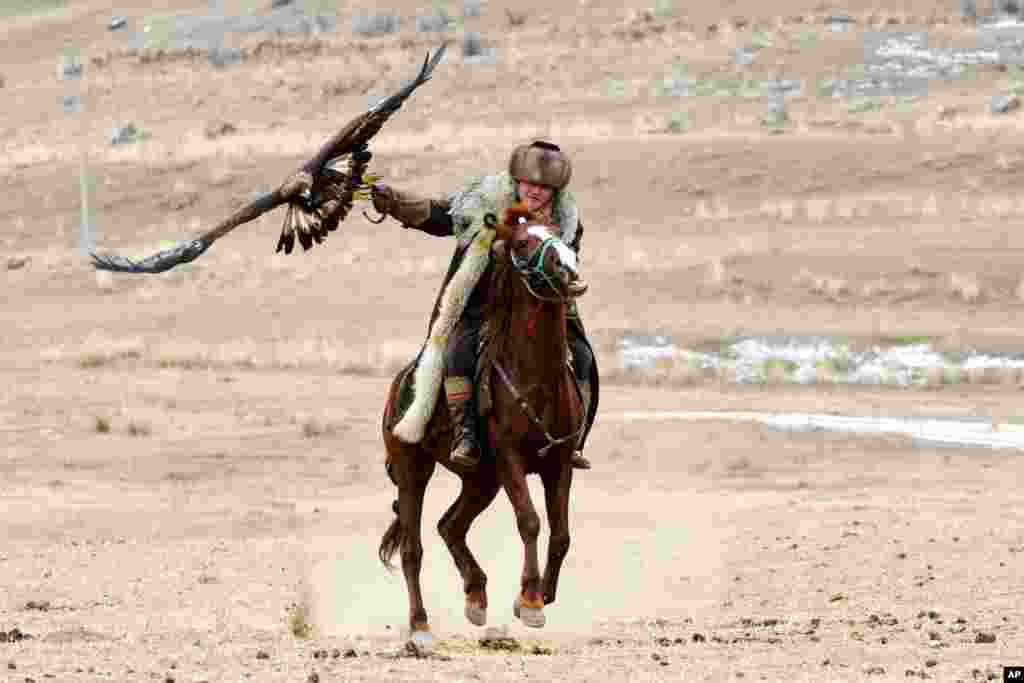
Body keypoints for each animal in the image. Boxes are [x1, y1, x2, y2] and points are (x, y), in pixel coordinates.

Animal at [378, 202, 589, 647]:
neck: (535, 378)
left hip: (481, 480)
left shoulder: (559, 461)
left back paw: (476, 596)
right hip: (413, 469)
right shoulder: (510, 460)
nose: (569, 270)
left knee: (450, 526)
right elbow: (530, 521)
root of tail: (400, 385)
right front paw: (530, 601)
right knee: (412, 549)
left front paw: (539, 594)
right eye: (523, 242)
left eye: (563, 236)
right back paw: (420, 626)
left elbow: (561, 534)